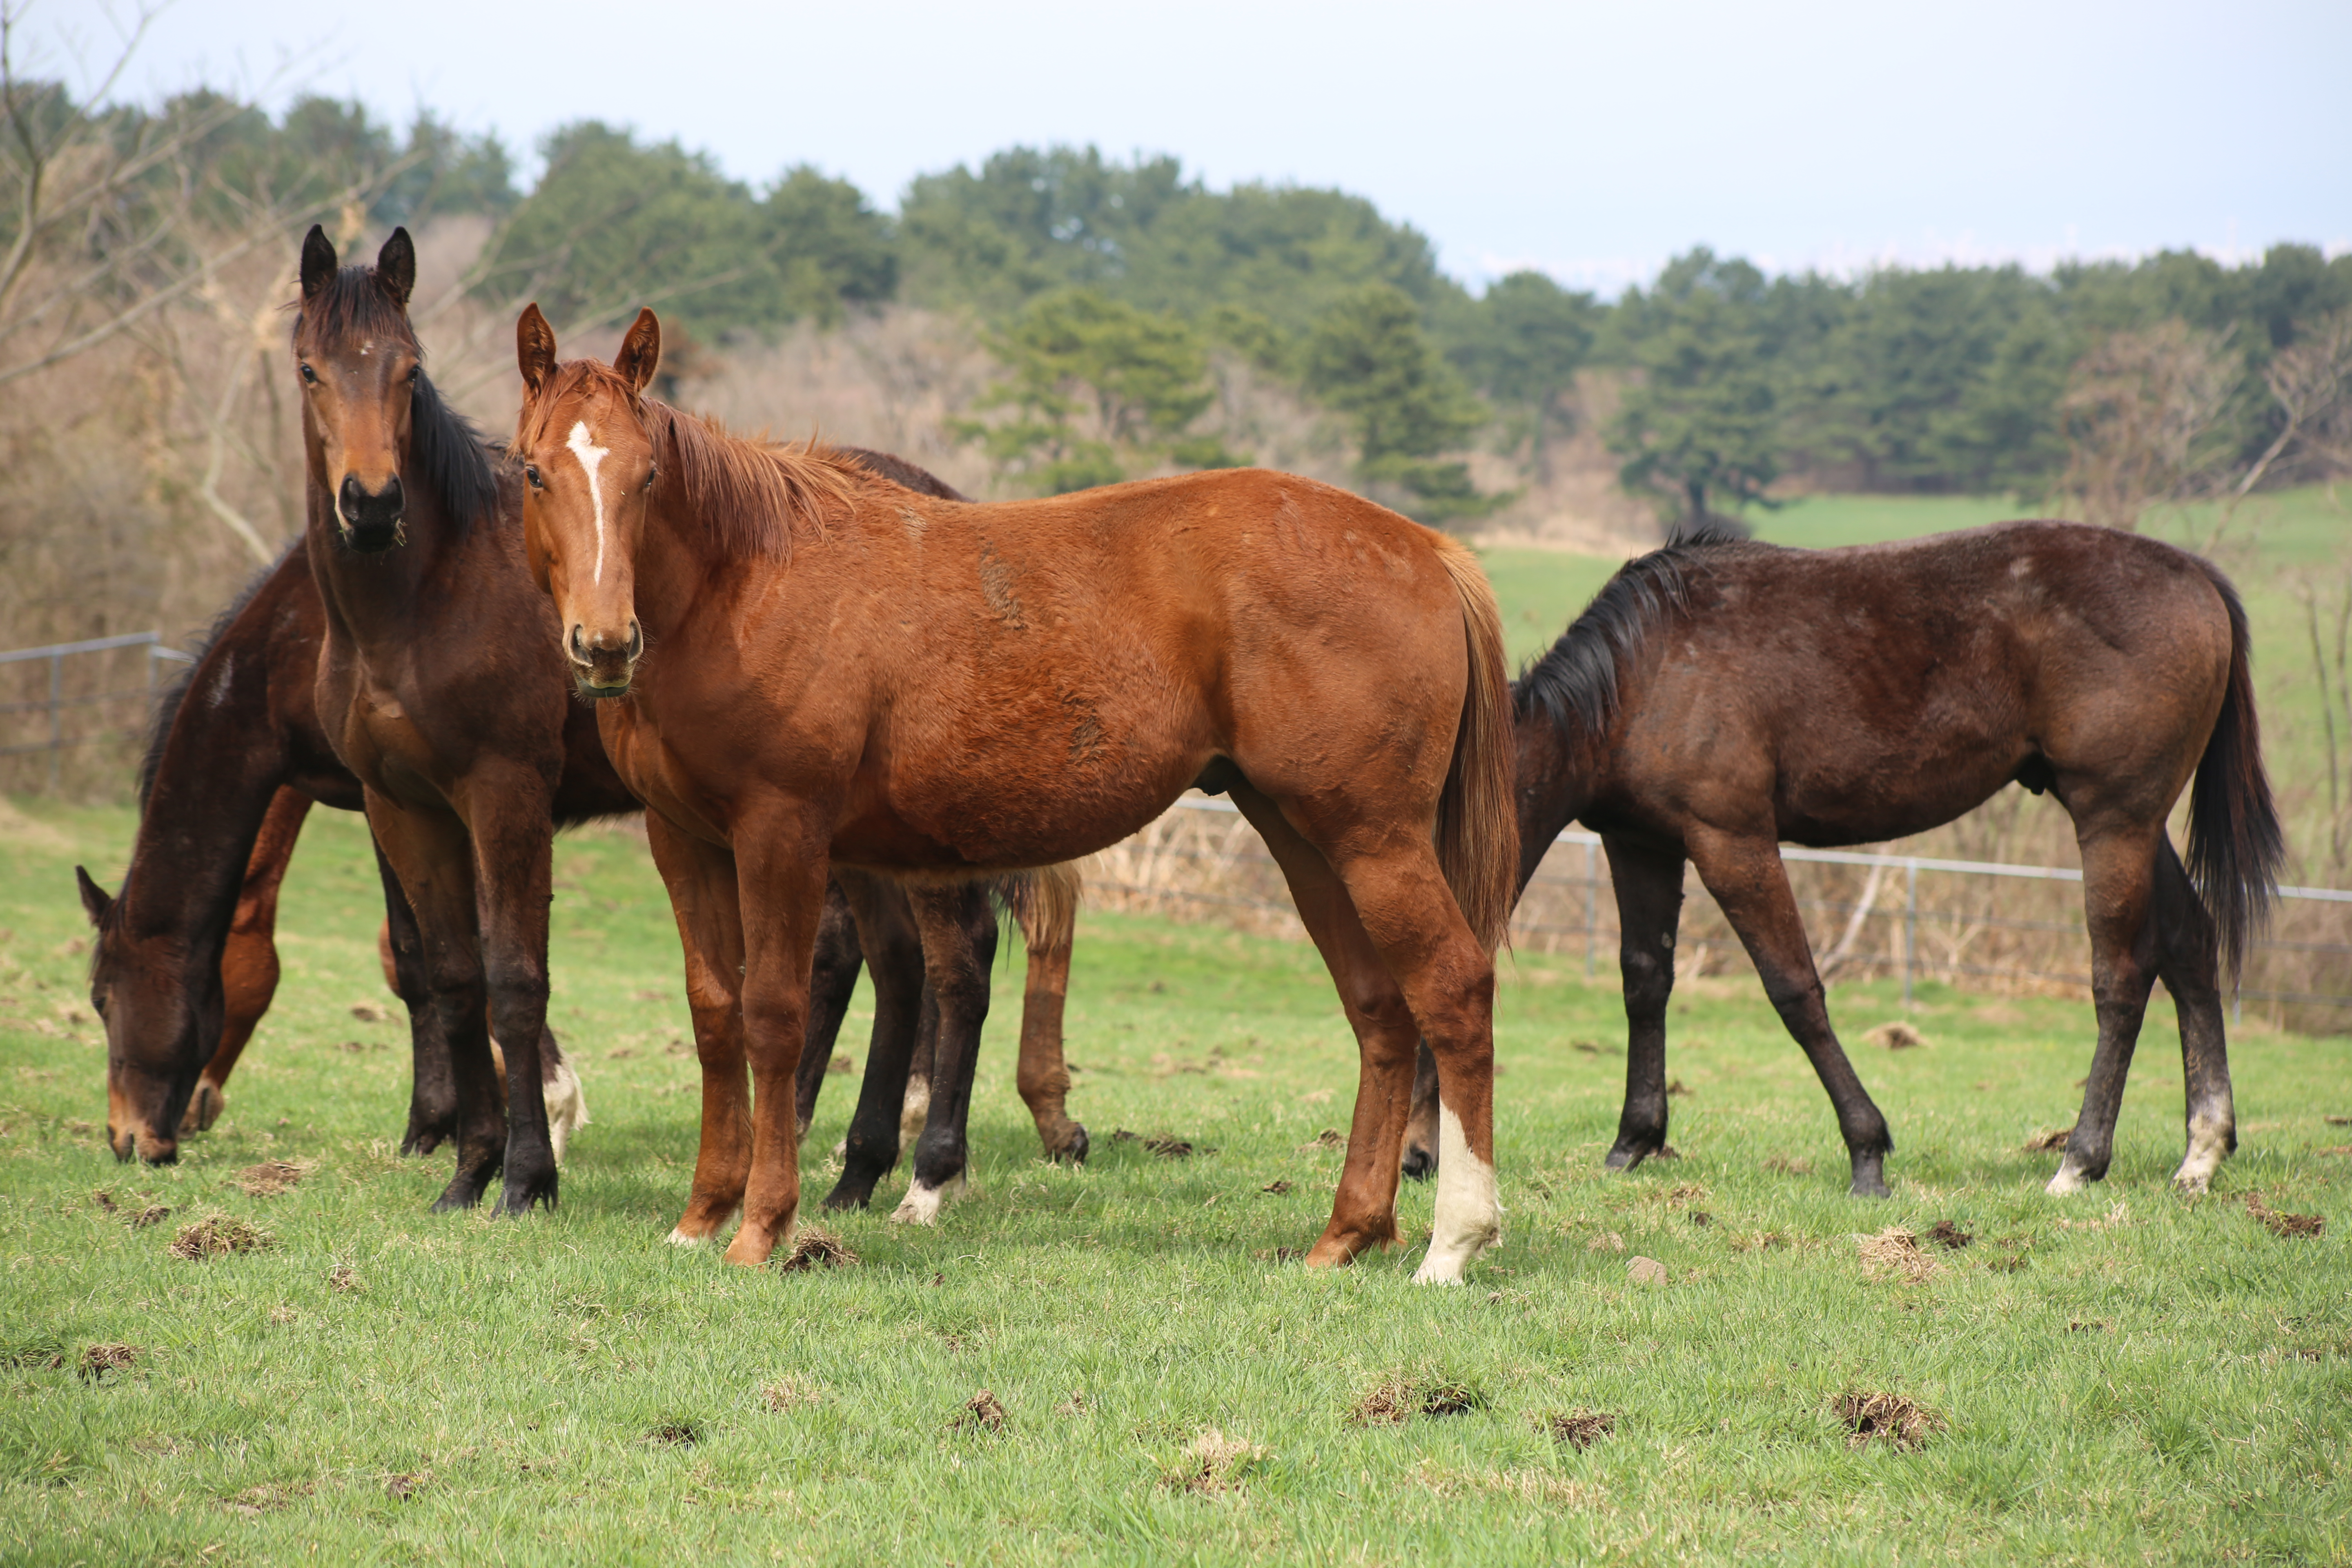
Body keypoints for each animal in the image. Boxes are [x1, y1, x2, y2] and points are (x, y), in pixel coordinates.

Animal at [506, 303, 1515, 1278]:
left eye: (645, 476)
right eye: (534, 472)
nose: (604, 644)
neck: (746, 581)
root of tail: (1427, 549)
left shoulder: (780, 835)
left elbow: (773, 1016)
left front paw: (760, 1229)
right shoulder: (684, 839)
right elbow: (715, 1016)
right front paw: (700, 1218)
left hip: (1374, 839)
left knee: (1455, 992)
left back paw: (1452, 1244)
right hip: (1304, 837)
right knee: (1380, 1010)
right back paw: (1348, 1234)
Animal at [1401, 522, 2286, 1194]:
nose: (1413, 1158)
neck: (1640, 677)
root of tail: (2196, 575)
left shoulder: (1732, 840)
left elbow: (1795, 991)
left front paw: (1867, 1152)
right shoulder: (1642, 844)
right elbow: (1645, 982)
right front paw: (1634, 1142)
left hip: (2113, 820)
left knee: (2123, 979)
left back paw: (2080, 1161)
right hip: (2131, 819)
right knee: (2191, 946)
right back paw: (2201, 1151)